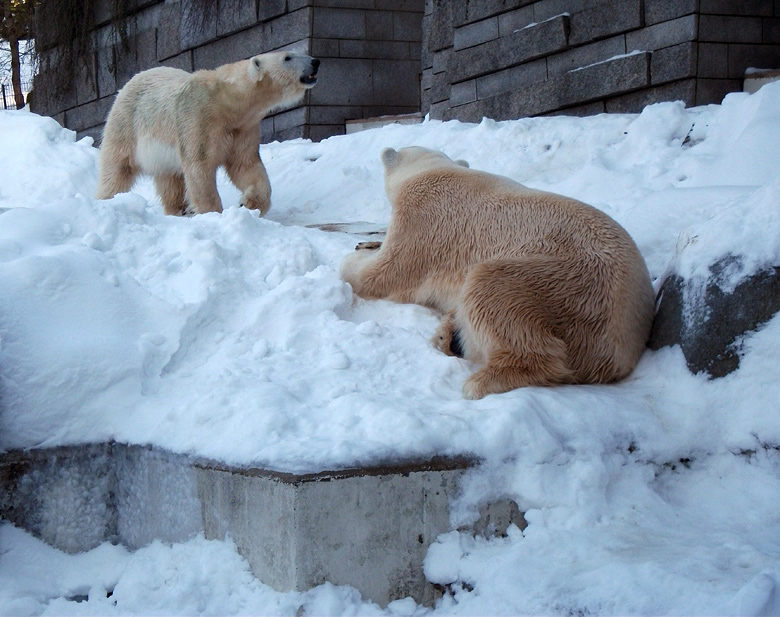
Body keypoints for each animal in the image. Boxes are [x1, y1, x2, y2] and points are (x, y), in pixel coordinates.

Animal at [95, 53, 320, 217]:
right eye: (288, 57)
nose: (315, 61)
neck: (228, 102)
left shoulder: (243, 127)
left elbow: (245, 165)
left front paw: (248, 204)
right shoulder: (199, 118)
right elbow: (199, 166)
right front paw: (213, 214)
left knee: (170, 180)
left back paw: (178, 210)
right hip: (126, 125)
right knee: (116, 170)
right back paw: (106, 200)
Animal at [338, 148, 656, 400]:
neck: (429, 169)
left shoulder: (423, 221)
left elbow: (382, 274)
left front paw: (354, 257)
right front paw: (366, 243)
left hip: (566, 285)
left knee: (494, 291)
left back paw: (480, 380)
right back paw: (449, 335)